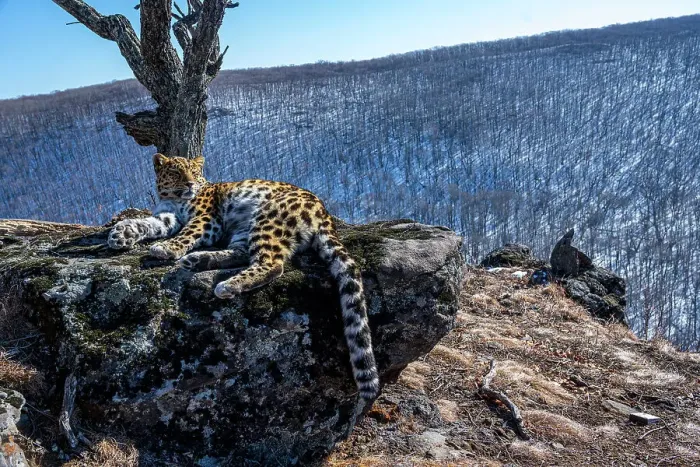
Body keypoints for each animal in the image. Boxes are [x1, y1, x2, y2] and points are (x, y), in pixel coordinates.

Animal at [107, 153, 379, 400]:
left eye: (193, 172)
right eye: (175, 172)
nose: (190, 185)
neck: (174, 199)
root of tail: (324, 212)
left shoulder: (206, 218)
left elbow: (187, 233)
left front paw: (167, 248)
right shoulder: (167, 216)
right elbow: (147, 223)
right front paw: (121, 234)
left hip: (267, 217)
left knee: (272, 264)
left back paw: (226, 284)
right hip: (243, 229)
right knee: (242, 253)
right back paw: (198, 261)